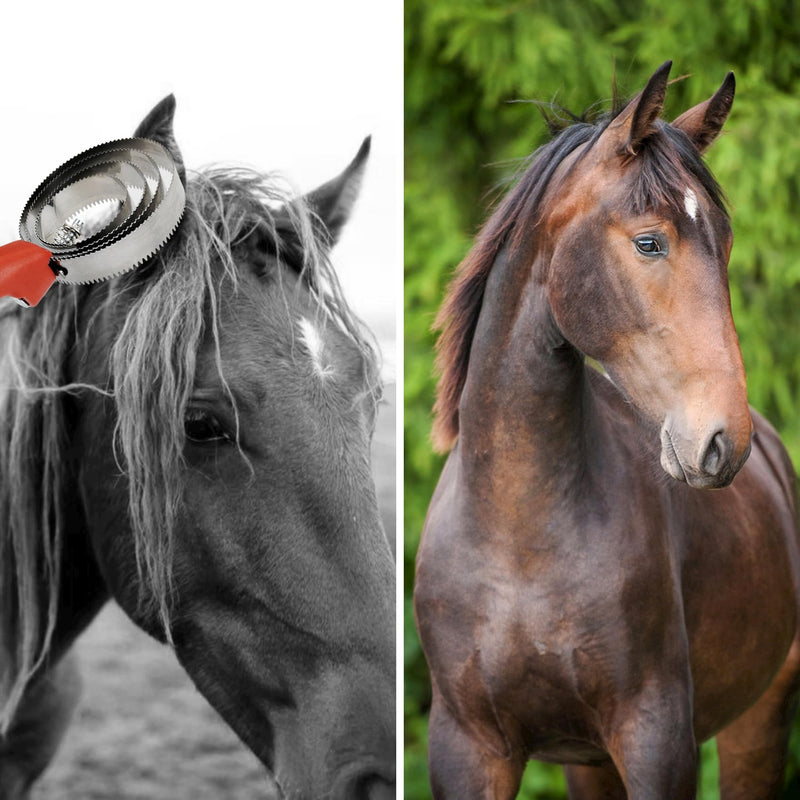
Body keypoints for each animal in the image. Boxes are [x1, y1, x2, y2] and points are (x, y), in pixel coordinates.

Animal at [414, 61, 800, 799]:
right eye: (649, 242)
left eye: (726, 244)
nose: (722, 440)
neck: (520, 536)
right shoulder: (468, 749)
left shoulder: (656, 742)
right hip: (589, 766)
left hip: (757, 725)